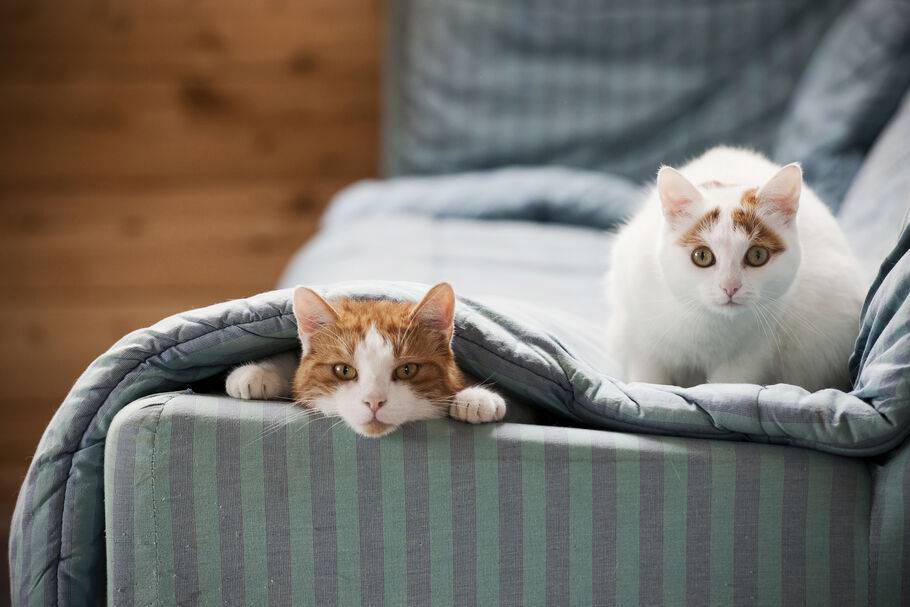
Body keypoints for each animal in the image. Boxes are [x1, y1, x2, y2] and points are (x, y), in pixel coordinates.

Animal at [608, 150, 864, 392]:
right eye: (702, 256)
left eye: (757, 256)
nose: (730, 287)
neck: (708, 321)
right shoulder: (638, 337)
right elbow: (648, 379)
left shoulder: (749, 354)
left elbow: (728, 387)